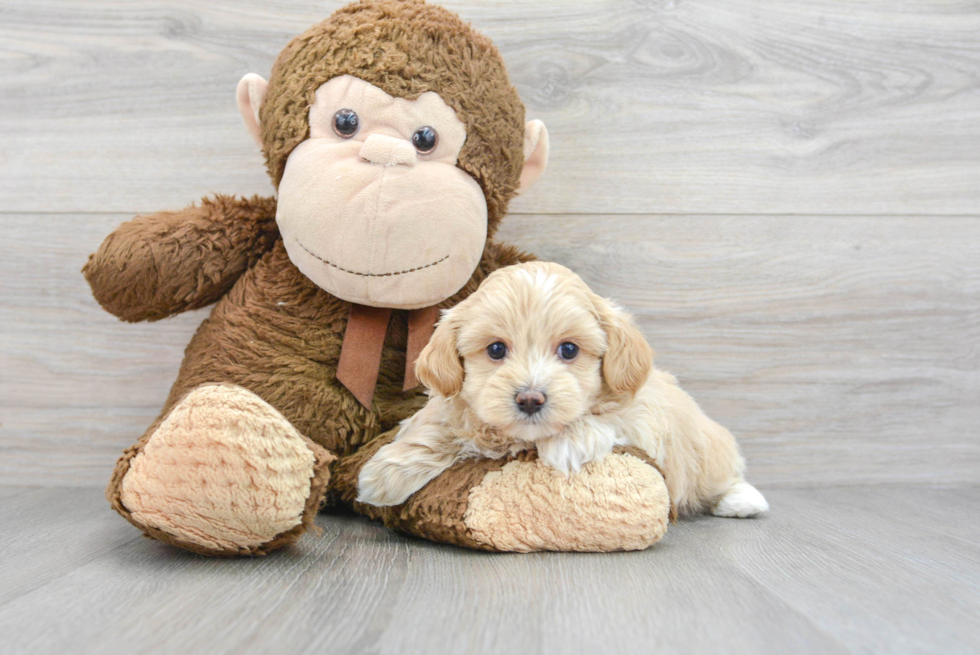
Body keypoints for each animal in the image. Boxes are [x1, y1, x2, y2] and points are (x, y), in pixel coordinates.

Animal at [356, 258, 768, 520]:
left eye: (569, 349)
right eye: (496, 350)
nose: (530, 399)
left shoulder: (644, 417)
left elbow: (612, 415)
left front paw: (569, 441)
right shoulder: (455, 407)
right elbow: (438, 426)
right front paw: (385, 473)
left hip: (707, 448)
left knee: (722, 474)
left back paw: (742, 500)